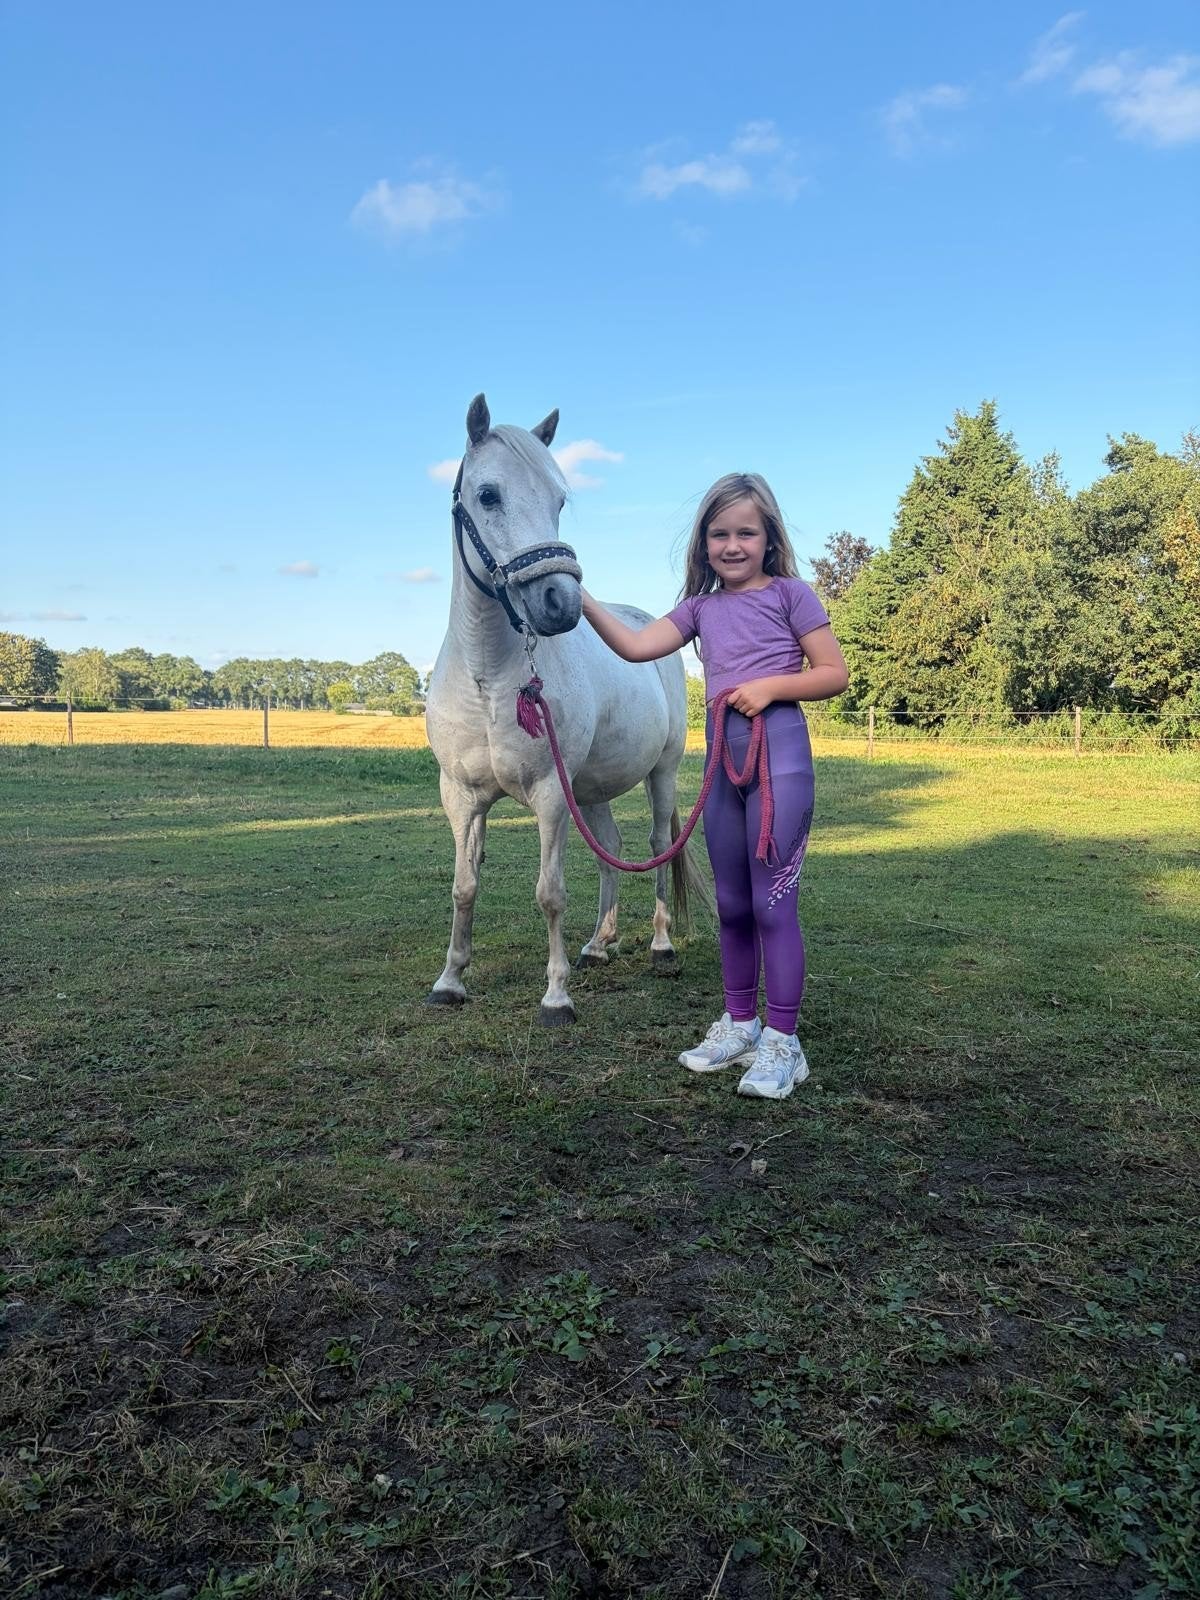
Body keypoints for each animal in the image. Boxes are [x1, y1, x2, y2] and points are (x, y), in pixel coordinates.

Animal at [424, 393, 703, 1025]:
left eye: (558, 499)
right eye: (488, 494)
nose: (561, 603)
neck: (487, 678)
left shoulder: (551, 793)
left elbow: (550, 893)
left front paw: (556, 996)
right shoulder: (461, 796)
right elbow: (463, 886)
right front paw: (451, 979)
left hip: (662, 771)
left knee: (656, 846)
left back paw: (661, 946)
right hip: (591, 789)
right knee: (612, 851)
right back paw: (599, 944)